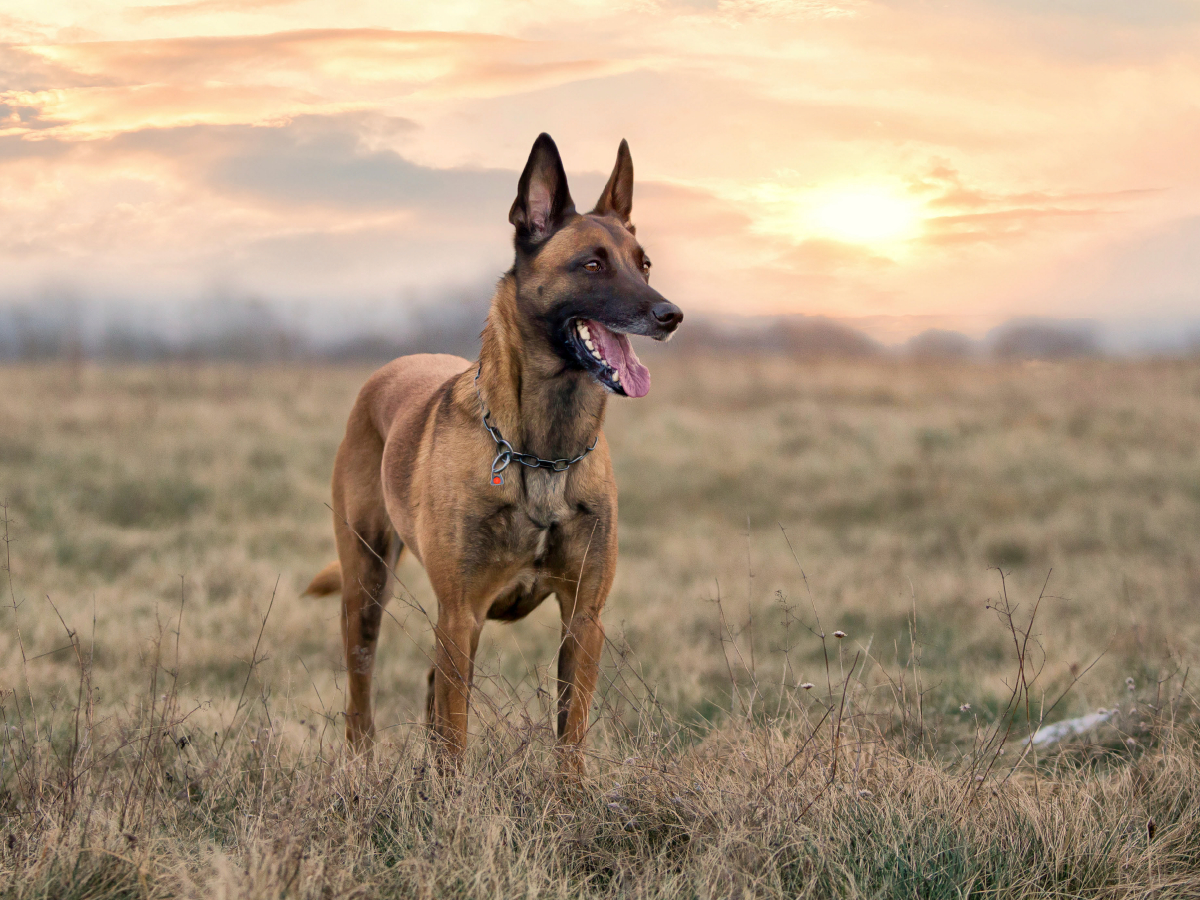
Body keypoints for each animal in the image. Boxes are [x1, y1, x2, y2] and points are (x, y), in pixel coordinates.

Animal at [304, 133, 686, 768]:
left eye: (644, 264)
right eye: (592, 265)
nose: (671, 315)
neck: (543, 452)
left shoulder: (583, 618)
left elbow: (569, 738)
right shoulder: (462, 616)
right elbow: (456, 738)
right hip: (366, 587)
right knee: (362, 702)